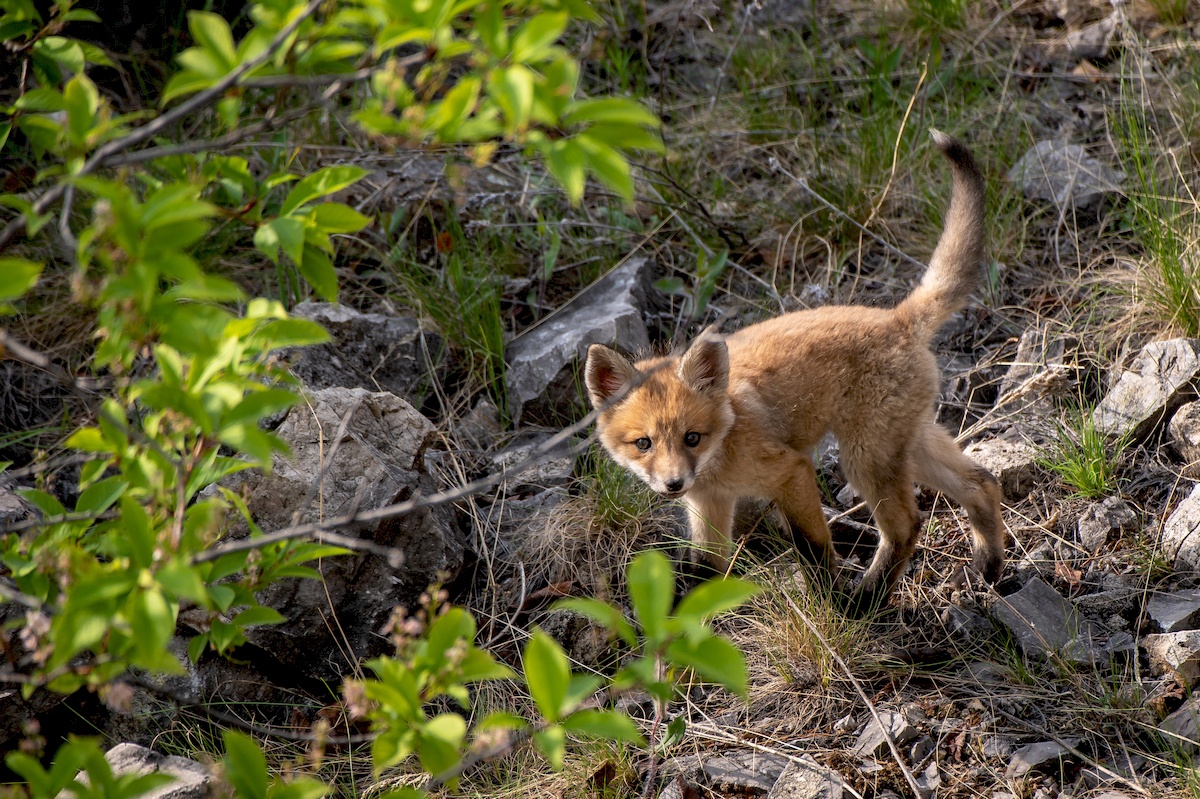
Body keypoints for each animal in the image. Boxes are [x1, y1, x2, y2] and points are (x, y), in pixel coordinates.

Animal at [585, 130, 1008, 607]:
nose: (674, 484)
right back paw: (988, 567)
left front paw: (829, 606)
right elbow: (704, 576)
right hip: (904, 443)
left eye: (692, 437)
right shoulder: (708, 506)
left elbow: (814, 549)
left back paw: (866, 602)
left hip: (864, 458)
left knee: (905, 526)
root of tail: (897, 318)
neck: (722, 452)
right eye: (644, 443)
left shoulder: (790, 472)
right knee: (980, 482)